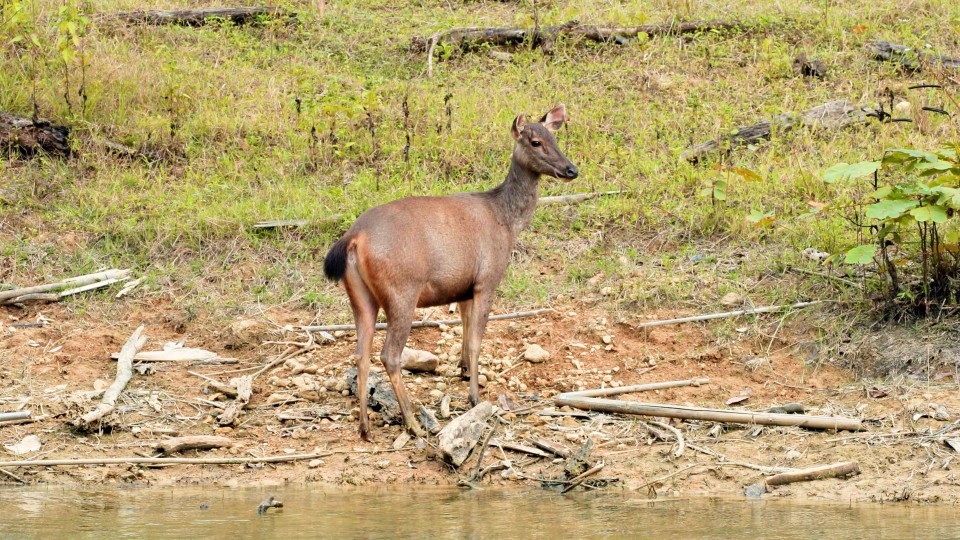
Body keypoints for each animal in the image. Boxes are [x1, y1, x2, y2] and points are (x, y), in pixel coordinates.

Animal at [322, 104, 576, 438]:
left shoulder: (464, 286)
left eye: (555, 137)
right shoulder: (487, 279)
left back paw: (365, 425)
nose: (571, 169)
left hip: (360, 296)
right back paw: (413, 422)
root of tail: (352, 239)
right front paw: (474, 397)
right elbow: (478, 340)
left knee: (360, 353)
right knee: (389, 355)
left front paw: (464, 370)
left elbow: (465, 329)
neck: (507, 221)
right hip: (402, 291)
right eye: (535, 142)